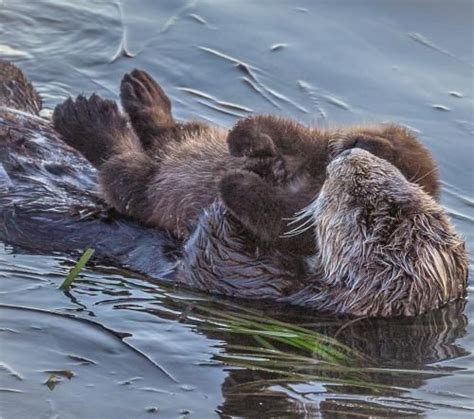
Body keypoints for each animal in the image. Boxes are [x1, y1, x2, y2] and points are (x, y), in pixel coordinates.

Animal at [53, 69, 438, 254]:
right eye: (362, 146)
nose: (348, 149)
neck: (311, 176)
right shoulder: (311, 142)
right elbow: (281, 129)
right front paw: (249, 143)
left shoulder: (300, 228)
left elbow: (272, 216)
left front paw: (244, 175)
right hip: (190, 133)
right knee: (169, 131)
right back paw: (142, 92)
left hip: (140, 184)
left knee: (121, 166)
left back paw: (86, 115)